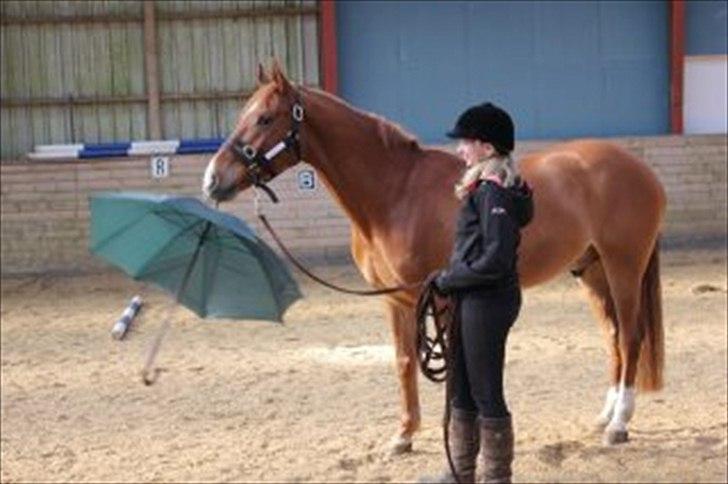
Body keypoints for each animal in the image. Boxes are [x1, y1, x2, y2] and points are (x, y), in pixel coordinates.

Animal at [202, 62, 666, 453]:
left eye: (265, 118)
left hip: (623, 266)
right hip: (591, 271)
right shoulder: (398, 299)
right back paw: (604, 415)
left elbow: (455, 366)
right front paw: (403, 436)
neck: (396, 193)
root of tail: (640, 169)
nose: (212, 180)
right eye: (244, 113)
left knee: (631, 335)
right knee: (613, 337)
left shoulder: (441, 296)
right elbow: (405, 361)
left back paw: (619, 425)